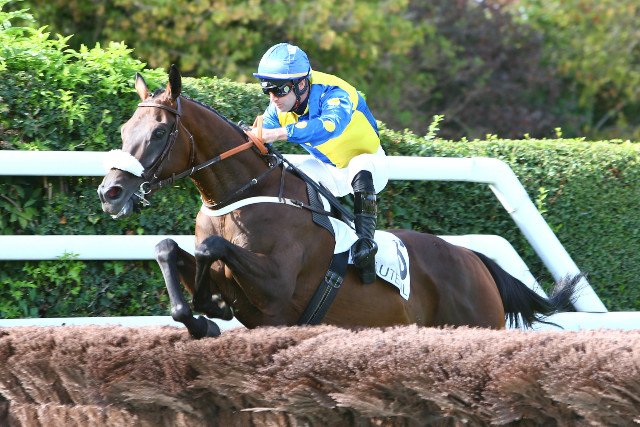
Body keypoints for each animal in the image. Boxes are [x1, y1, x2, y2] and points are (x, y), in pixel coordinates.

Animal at [98, 65, 578, 338]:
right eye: (125, 129)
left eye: (160, 132)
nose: (110, 192)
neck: (241, 197)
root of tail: (475, 260)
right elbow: (169, 249)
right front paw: (201, 314)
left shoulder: (276, 287)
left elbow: (209, 248)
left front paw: (207, 308)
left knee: (363, 176)